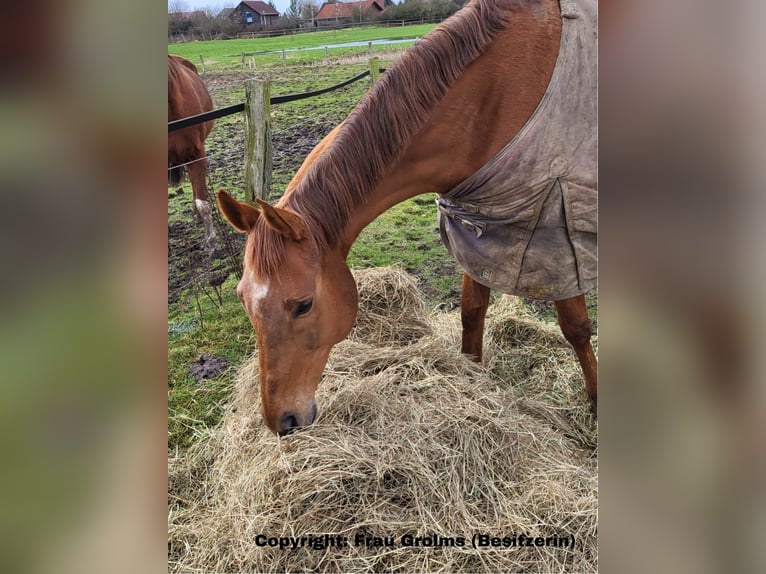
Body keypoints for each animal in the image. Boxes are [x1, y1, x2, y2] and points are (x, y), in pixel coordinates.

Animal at [218, 0, 600, 434]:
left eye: (303, 305)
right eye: (243, 299)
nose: (283, 422)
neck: (492, 100)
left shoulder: (555, 230)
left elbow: (576, 327)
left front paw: (596, 405)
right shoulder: (481, 227)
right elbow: (472, 312)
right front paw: (473, 379)